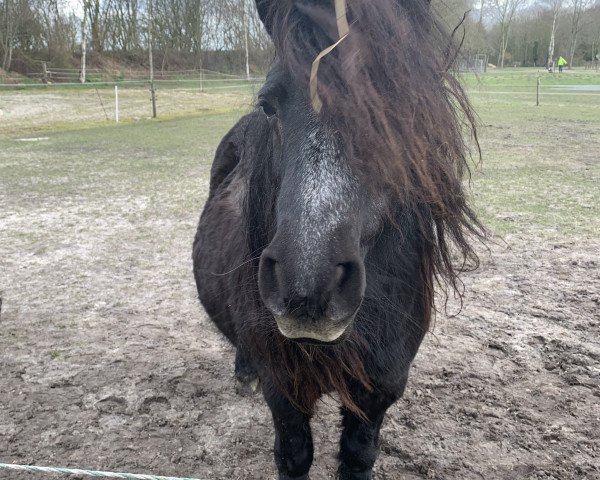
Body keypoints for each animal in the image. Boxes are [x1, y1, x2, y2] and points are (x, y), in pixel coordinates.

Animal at [195, 0, 486, 476]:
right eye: (269, 105)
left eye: (394, 101)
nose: (306, 287)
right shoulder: (285, 392)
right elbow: (294, 456)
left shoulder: (379, 390)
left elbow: (358, 457)